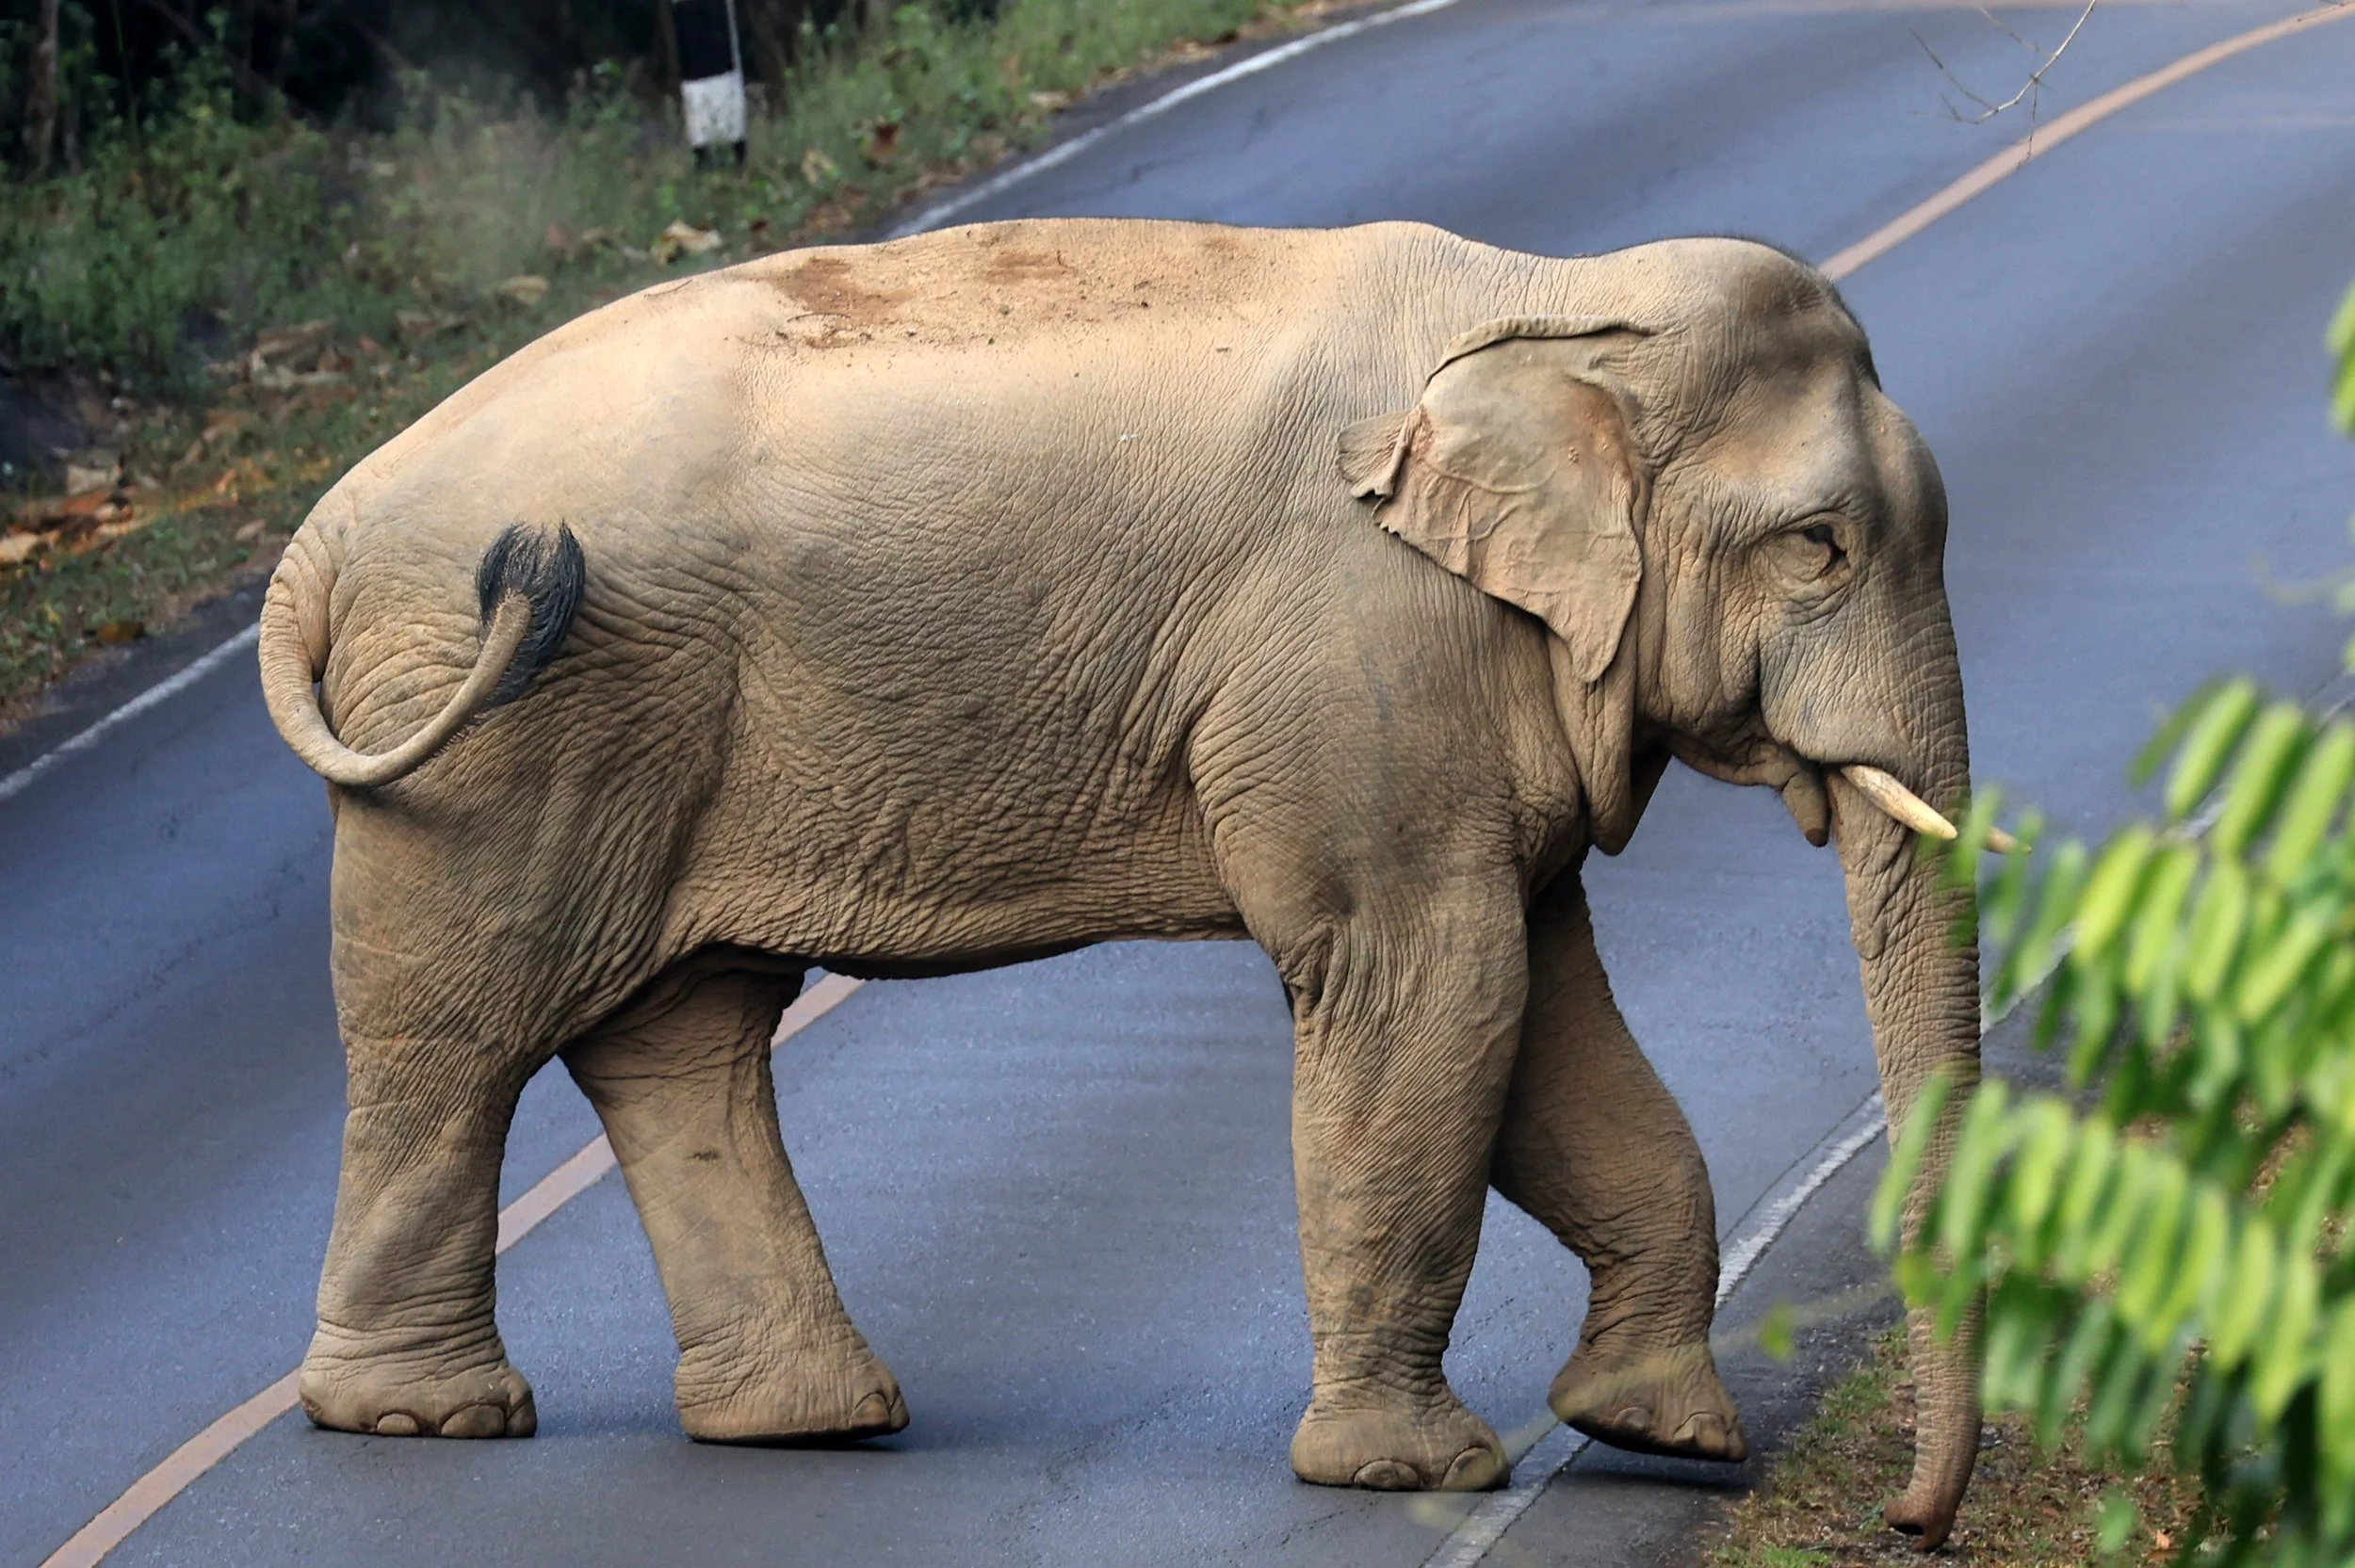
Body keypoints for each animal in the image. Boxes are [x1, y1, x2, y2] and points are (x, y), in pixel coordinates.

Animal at [258, 217, 1984, 1547]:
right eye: (1820, 547)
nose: (1904, 1520)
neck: (1559, 298)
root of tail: (321, 533)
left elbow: (1540, 1013)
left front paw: (1662, 1436)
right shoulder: (1364, 654)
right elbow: (1432, 987)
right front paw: (1411, 1474)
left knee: (681, 1036)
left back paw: (805, 1423)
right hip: (497, 724)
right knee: (460, 1039)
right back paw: (425, 1420)